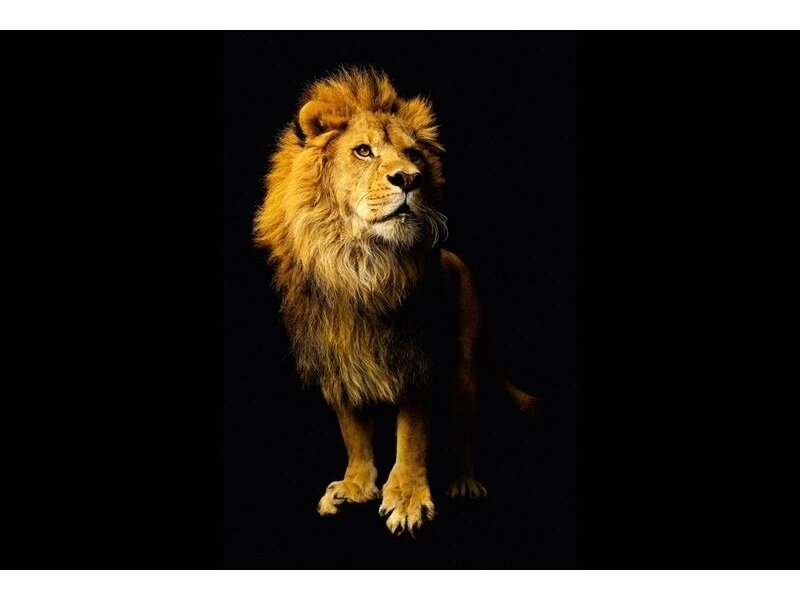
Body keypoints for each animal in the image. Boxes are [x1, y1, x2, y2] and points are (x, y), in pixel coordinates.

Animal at [254, 67, 538, 536]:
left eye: (414, 154)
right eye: (363, 151)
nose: (409, 178)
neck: (360, 266)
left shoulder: (417, 358)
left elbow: (413, 435)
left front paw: (406, 498)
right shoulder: (335, 359)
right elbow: (352, 431)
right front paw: (354, 486)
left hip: (464, 370)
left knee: (463, 431)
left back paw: (465, 482)